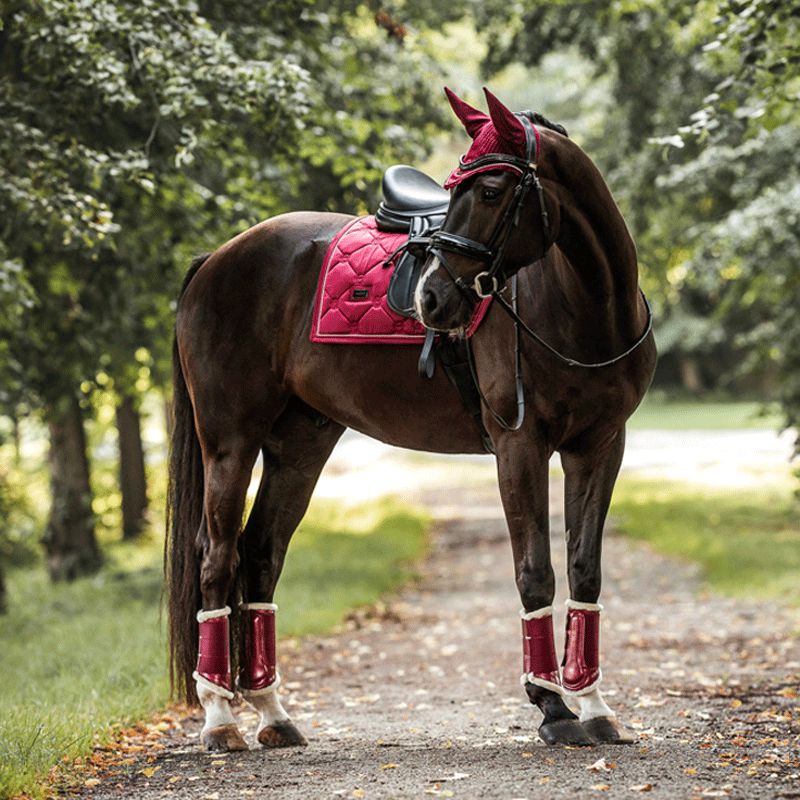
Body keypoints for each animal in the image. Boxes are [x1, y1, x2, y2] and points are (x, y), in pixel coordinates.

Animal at [167, 90, 656, 752]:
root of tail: (218, 258)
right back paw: (220, 719)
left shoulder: (600, 446)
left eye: (493, 190)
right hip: (230, 441)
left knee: (261, 551)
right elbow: (535, 572)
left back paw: (272, 712)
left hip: (300, 443)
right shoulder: (520, 446)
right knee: (216, 557)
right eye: (453, 190)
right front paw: (553, 708)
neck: (585, 305)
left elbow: (585, 570)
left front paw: (595, 706)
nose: (431, 298)